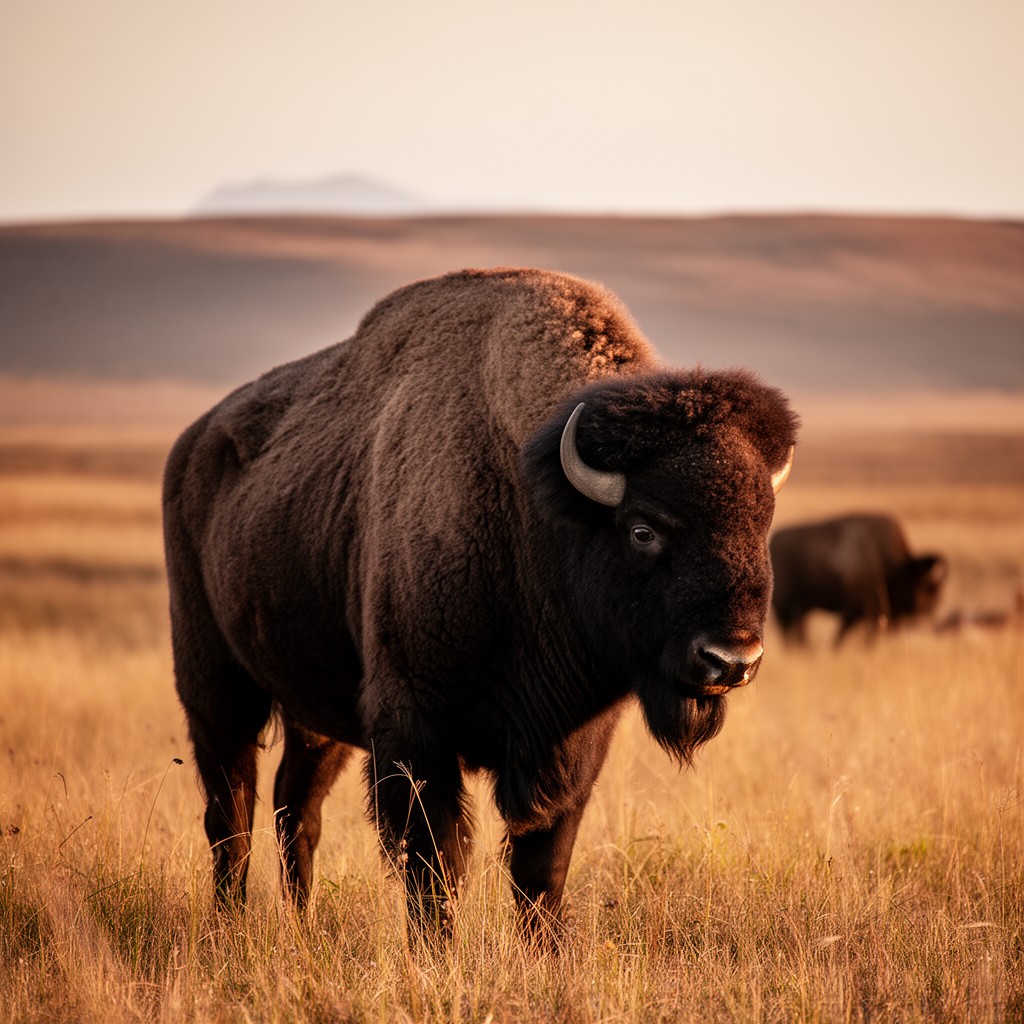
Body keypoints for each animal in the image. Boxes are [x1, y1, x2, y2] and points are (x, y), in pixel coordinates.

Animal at [163, 267, 797, 938]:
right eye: (643, 528)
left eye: (762, 522)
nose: (730, 660)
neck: (535, 502)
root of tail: (191, 445)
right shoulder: (416, 726)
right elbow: (436, 861)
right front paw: (437, 951)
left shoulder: (573, 745)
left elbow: (542, 865)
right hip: (215, 687)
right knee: (230, 811)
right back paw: (229, 924)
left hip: (318, 712)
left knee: (296, 808)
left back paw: (301, 925)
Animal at [770, 513, 946, 646]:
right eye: (926, 588)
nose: (928, 615)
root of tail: (773, 540)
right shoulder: (855, 613)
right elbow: (842, 640)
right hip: (786, 610)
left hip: (799, 611)